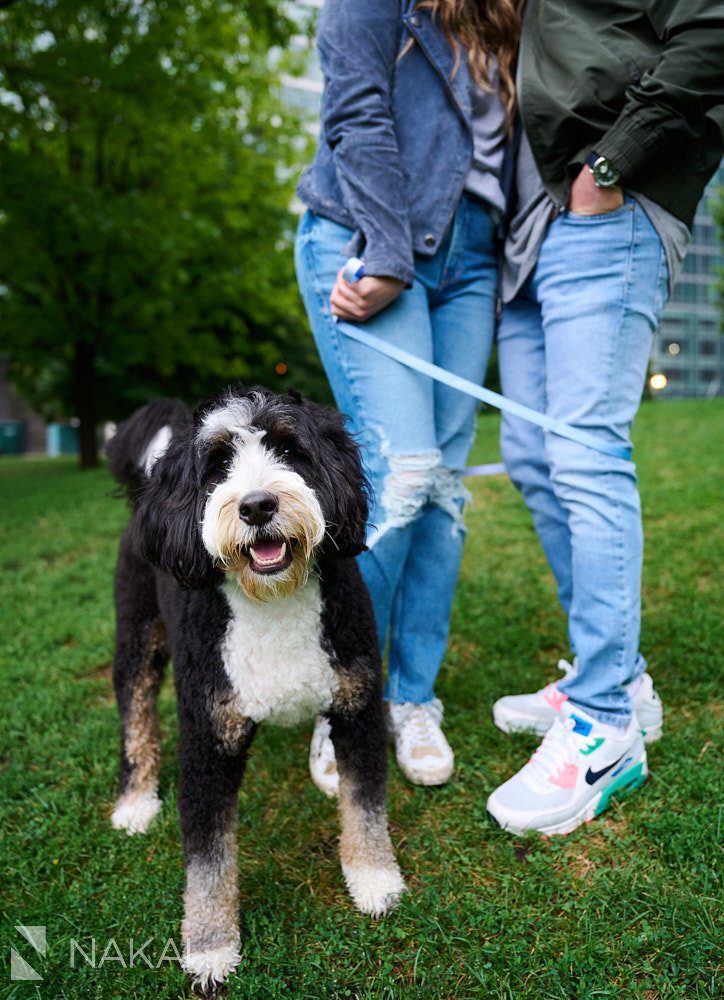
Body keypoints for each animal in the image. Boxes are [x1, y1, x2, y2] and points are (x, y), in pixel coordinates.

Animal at [107, 384, 404, 992]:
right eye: (219, 465)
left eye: (289, 450)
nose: (257, 506)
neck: (272, 599)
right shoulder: (207, 743)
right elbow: (208, 859)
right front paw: (210, 947)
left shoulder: (358, 708)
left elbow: (365, 804)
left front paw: (374, 879)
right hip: (137, 635)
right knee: (136, 711)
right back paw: (135, 802)